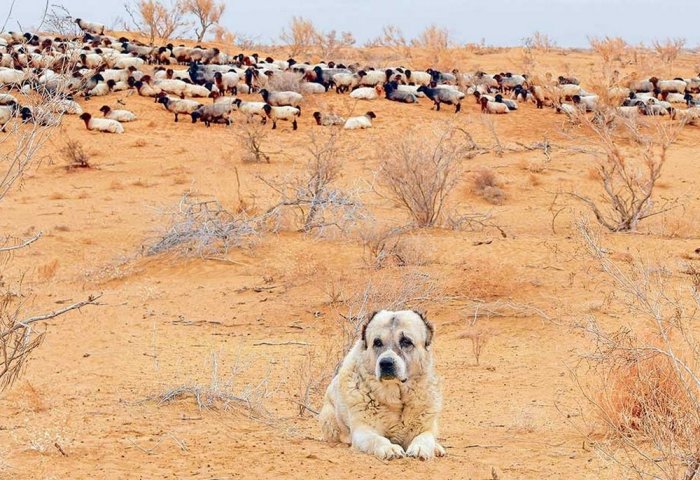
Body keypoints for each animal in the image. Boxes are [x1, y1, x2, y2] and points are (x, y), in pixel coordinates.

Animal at [318, 310, 442, 460]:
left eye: (406, 341)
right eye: (377, 342)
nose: (386, 363)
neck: (396, 398)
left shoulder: (425, 428)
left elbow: (424, 438)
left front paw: (420, 449)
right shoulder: (363, 431)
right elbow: (377, 439)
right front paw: (390, 448)